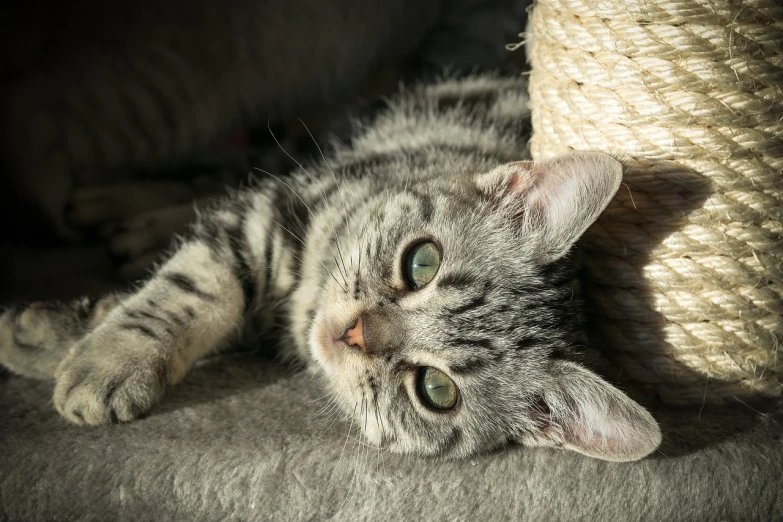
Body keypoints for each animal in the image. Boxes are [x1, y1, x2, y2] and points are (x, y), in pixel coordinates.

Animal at [0, 73, 660, 460]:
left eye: (436, 390)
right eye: (422, 262)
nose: (354, 333)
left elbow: (198, 300)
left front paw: (59, 342)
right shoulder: (271, 208)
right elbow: (194, 289)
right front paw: (102, 358)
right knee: (211, 174)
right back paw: (112, 209)